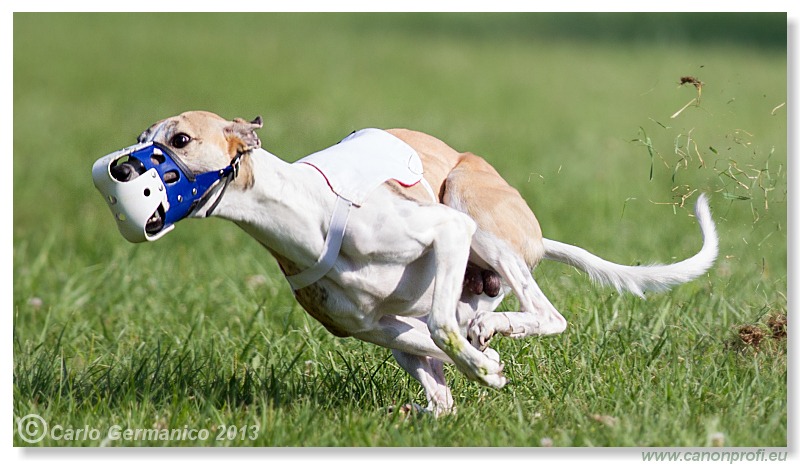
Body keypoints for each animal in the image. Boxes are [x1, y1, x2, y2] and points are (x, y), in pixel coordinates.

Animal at [131, 109, 720, 414]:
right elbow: (434, 339)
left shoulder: (446, 231)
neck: (305, 211)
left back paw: (496, 330)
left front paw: (486, 364)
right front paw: (487, 366)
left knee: (543, 314)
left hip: (471, 205)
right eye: (139, 139)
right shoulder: (372, 327)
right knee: (442, 386)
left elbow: (441, 327)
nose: (121, 169)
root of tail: (535, 235)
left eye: (180, 139)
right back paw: (442, 390)